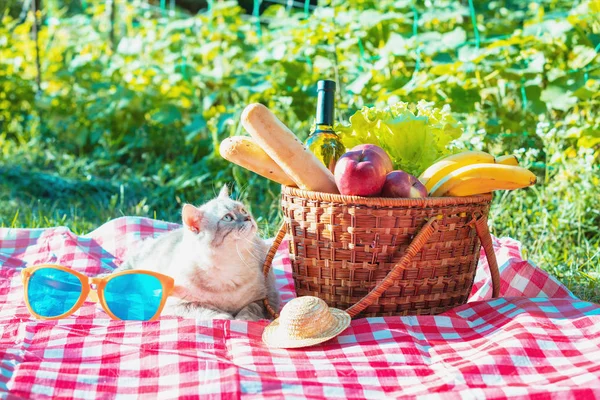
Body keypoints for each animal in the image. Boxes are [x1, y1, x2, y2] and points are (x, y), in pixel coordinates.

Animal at [117, 185, 282, 322]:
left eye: (243, 210)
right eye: (228, 217)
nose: (249, 218)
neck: (228, 267)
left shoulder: (265, 298)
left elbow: (251, 308)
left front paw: (243, 318)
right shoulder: (178, 304)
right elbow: (205, 308)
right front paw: (225, 316)